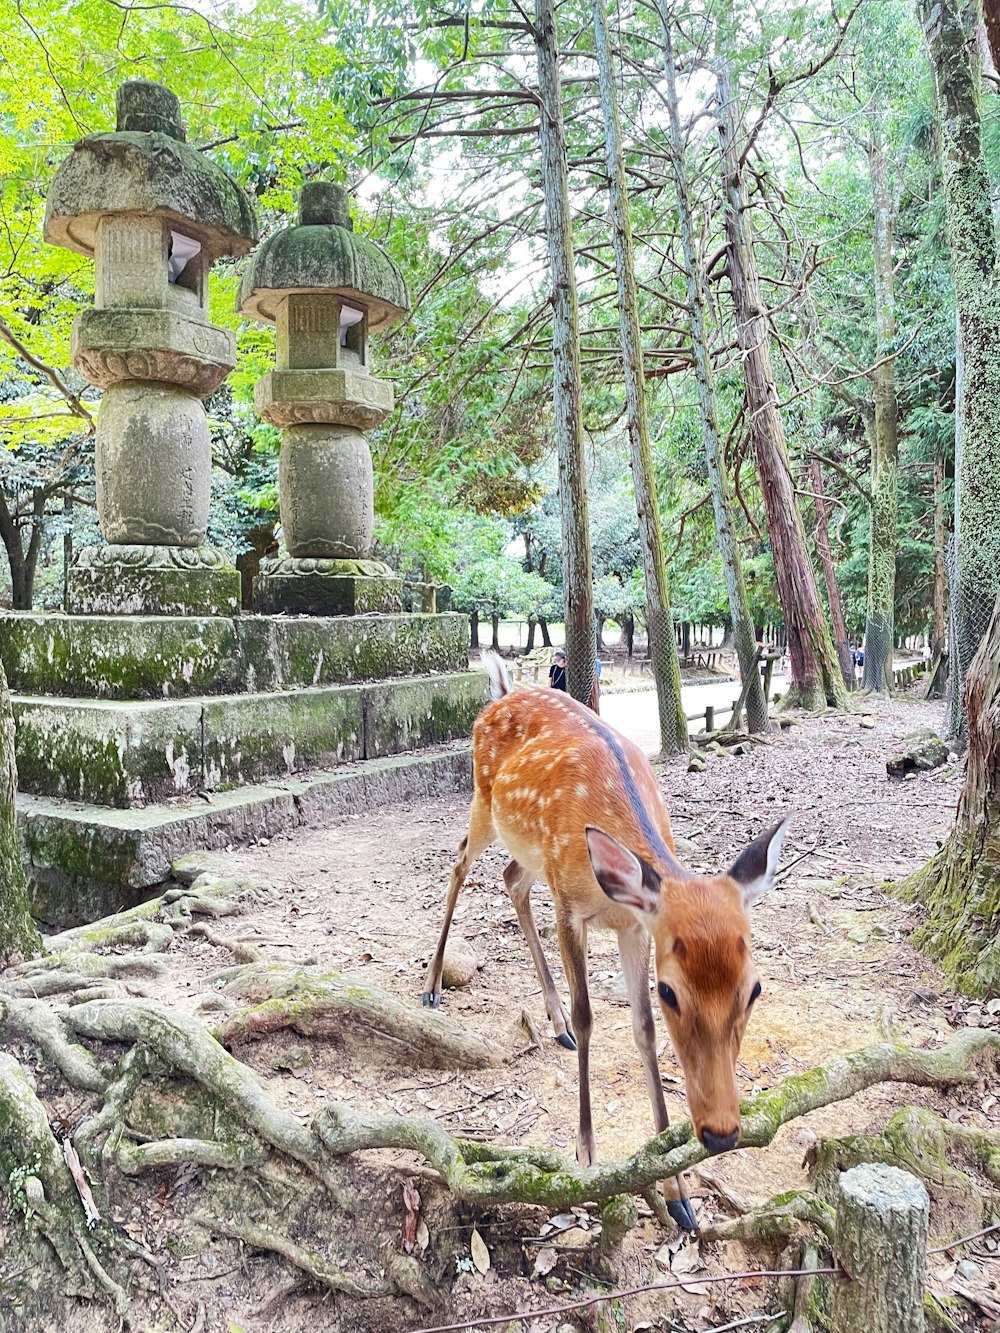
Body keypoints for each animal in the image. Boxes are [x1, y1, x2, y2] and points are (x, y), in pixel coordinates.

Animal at [424, 650, 789, 1231]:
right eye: (671, 991)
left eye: (754, 989)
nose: (721, 1133)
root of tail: (501, 690)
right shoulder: (569, 908)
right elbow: (591, 1016)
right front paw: (587, 1152)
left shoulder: (636, 926)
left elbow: (643, 1030)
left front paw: (677, 1191)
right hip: (485, 804)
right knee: (460, 862)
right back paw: (434, 985)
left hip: (527, 852)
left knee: (510, 879)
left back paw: (553, 1024)